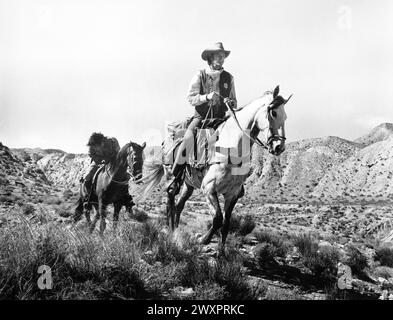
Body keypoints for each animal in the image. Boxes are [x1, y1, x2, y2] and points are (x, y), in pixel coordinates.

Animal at [139, 86, 290, 246]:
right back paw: (171, 231)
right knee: (170, 200)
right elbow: (217, 219)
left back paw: (176, 230)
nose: (279, 147)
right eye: (273, 113)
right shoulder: (209, 188)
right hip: (171, 176)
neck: (231, 148)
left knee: (179, 205)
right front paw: (203, 239)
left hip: (188, 184)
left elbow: (226, 224)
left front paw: (221, 250)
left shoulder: (232, 194)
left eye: (285, 117)